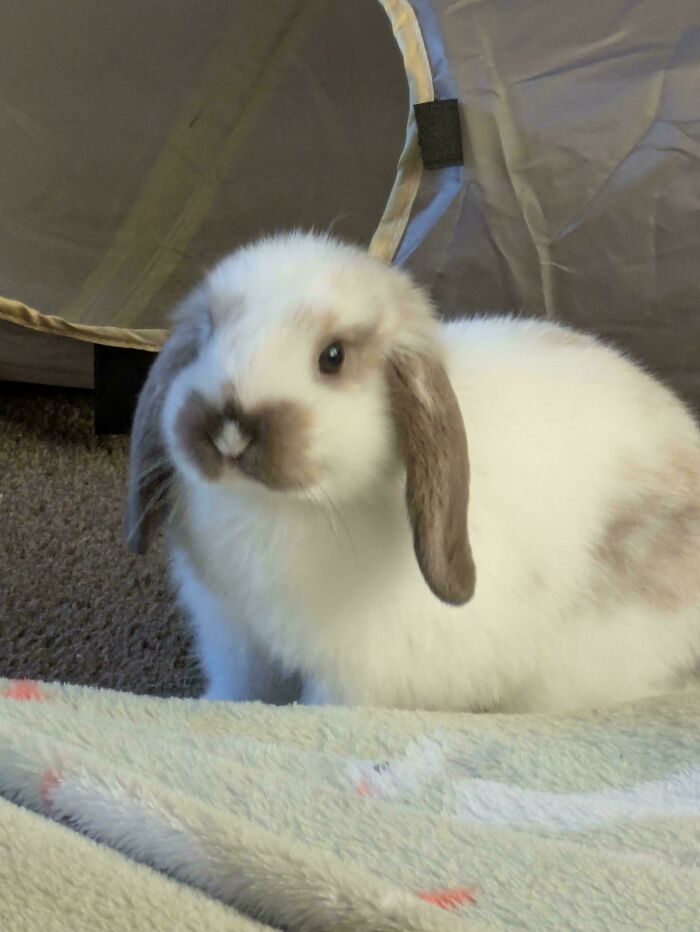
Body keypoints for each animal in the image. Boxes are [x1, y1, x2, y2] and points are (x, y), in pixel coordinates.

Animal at [126, 231, 700, 713]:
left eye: (332, 357)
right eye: (207, 336)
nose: (230, 431)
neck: (276, 507)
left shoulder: (353, 675)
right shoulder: (236, 639)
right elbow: (237, 691)